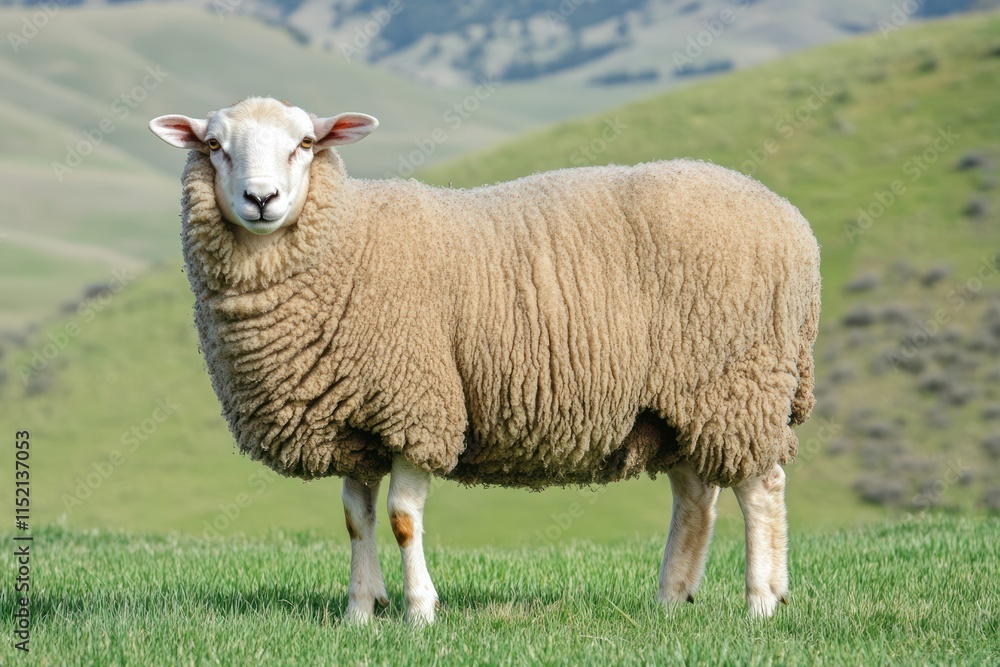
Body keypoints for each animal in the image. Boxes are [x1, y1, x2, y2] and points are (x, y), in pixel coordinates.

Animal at [149, 96, 821, 625]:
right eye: (214, 145)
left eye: (306, 144)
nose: (261, 199)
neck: (347, 242)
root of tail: (793, 222)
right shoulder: (354, 420)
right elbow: (356, 520)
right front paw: (360, 612)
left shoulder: (417, 405)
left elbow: (401, 519)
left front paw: (420, 612)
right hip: (679, 399)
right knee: (696, 496)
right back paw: (671, 599)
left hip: (739, 383)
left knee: (761, 489)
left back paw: (763, 601)